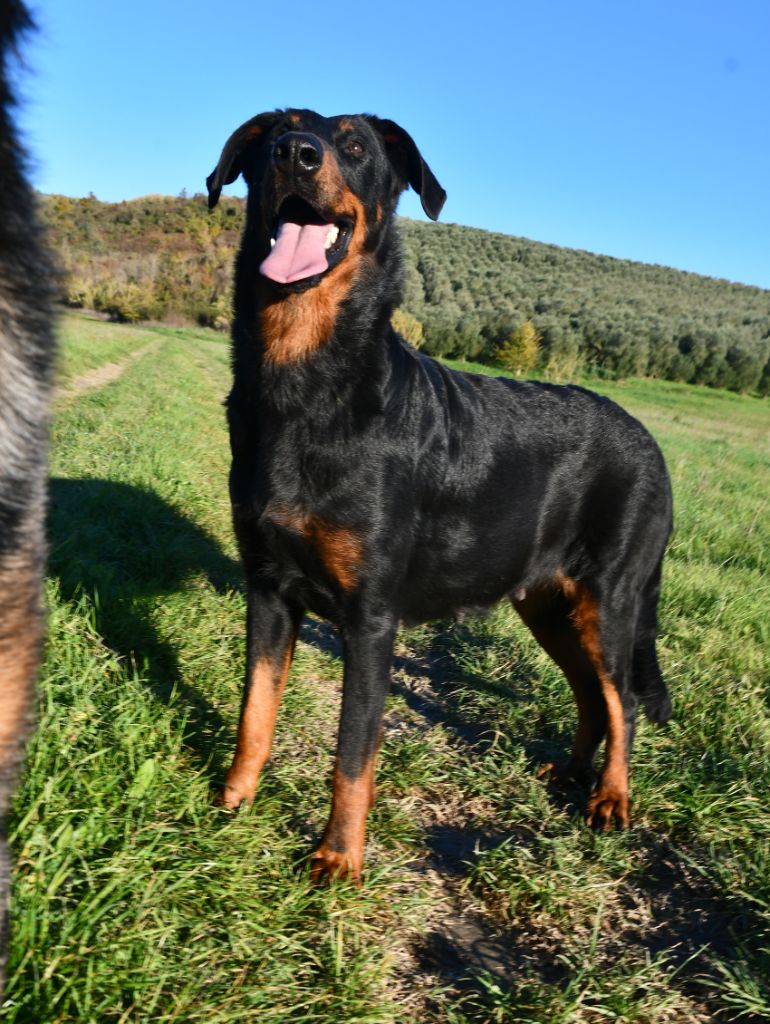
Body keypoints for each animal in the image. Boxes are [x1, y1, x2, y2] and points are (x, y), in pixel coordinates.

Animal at [207, 110, 671, 880]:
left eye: (355, 147)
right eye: (276, 134)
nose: (295, 156)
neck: (307, 379)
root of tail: (655, 447)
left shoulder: (371, 619)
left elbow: (352, 753)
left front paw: (338, 859)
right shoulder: (268, 588)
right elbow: (255, 711)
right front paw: (230, 801)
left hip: (610, 599)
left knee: (623, 699)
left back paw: (611, 798)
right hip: (546, 602)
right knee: (587, 692)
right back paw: (572, 773)